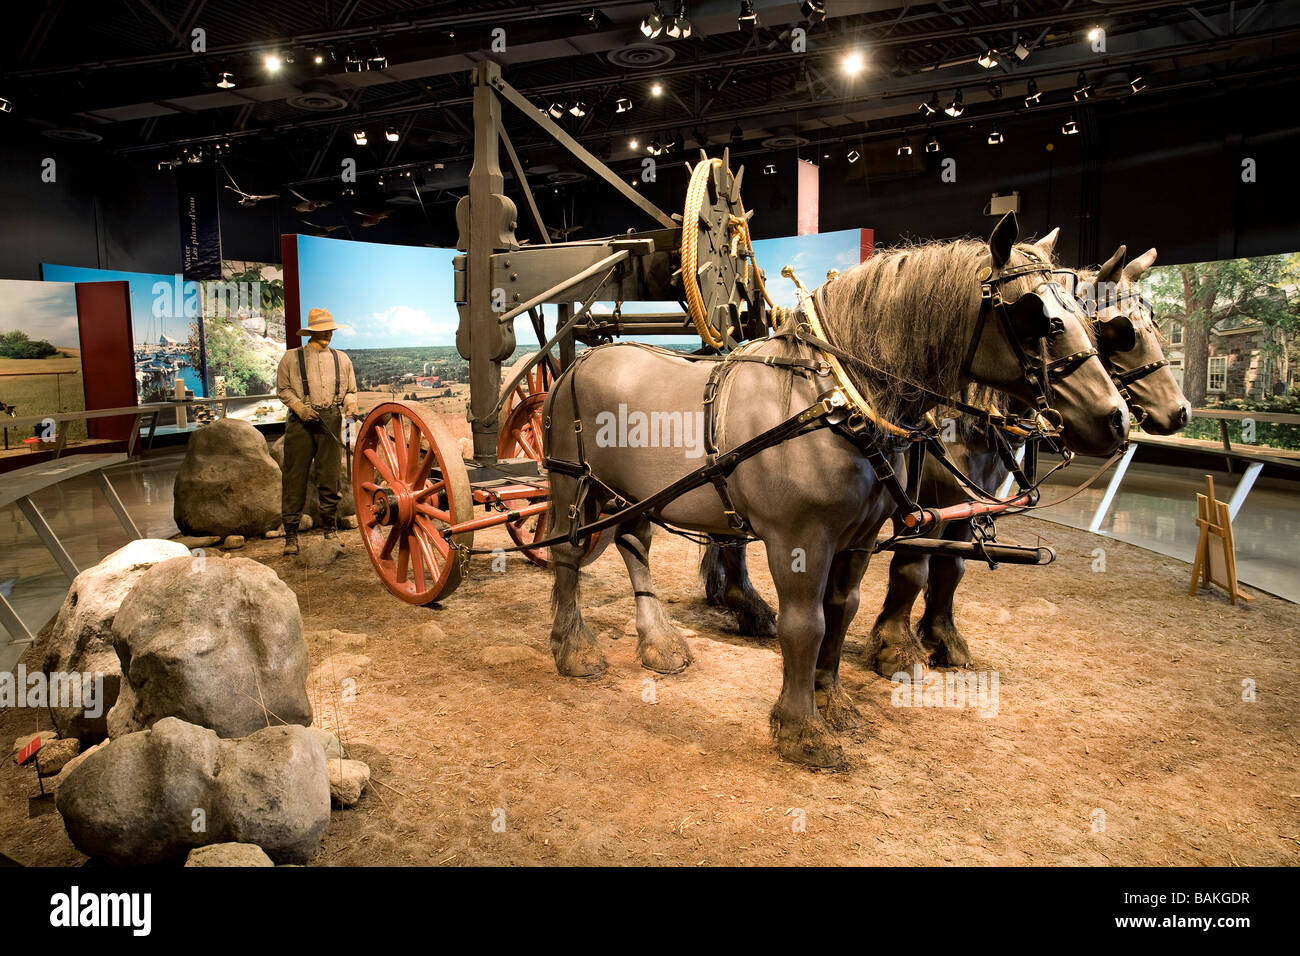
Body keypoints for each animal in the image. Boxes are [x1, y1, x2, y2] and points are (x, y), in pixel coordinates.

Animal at [538, 214, 1128, 770]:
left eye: (1083, 314)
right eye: (1039, 319)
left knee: (633, 546)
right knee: (567, 555)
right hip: (571, 485)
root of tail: (576, 361)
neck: (833, 402)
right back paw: (573, 647)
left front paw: (832, 702)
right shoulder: (799, 540)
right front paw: (801, 729)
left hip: (631, 495)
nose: (1116, 418)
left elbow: (842, 612)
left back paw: (658, 643)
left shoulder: (859, 539)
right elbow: (806, 624)